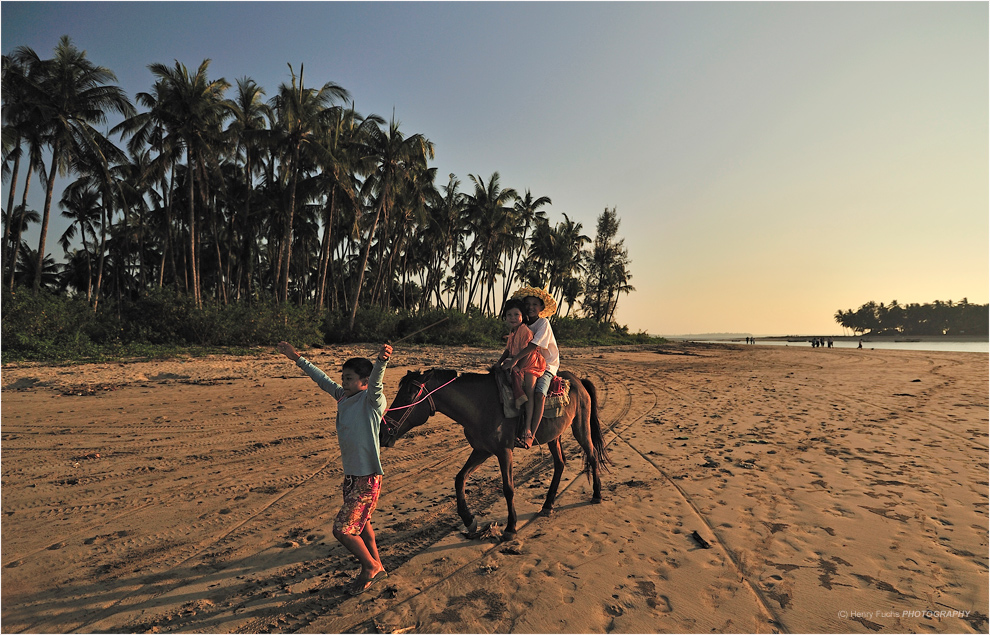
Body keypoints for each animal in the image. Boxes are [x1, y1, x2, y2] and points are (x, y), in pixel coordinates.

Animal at [382, 368, 608, 540]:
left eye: (408, 395)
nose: (383, 431)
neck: (481, 405)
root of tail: (578, 380)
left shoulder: (504, 452)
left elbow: (508, 488)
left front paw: (511, 527)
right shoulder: (482, 451)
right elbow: (459, 478)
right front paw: (469, 520)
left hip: (580, 427)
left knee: (592, 455)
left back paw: (597, 495)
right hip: (554, 436)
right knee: (560, 463)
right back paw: (548, 504)